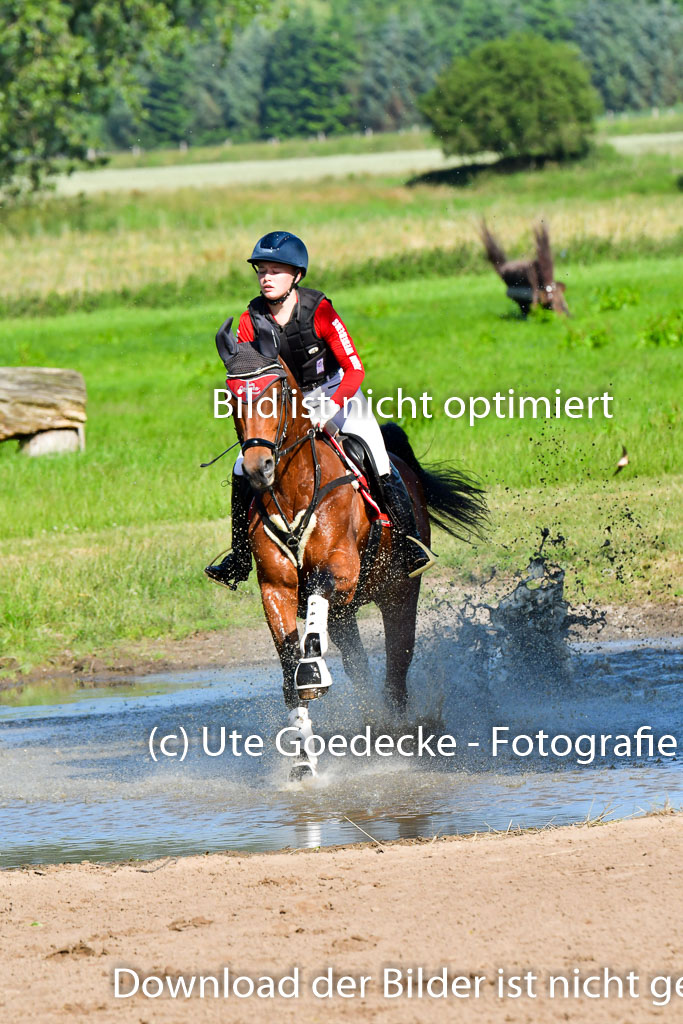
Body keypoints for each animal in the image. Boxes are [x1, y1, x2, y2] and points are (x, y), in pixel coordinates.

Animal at [214, 319, 485, 774]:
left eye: (277, 393)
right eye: (233, 397)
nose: (257, 469)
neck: (292, 489)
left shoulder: (343, 570)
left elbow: (316, 596)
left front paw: (312, 674)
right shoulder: (276, 588)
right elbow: (290, 663)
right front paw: (303, 761)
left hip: (398, 592)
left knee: (397, 660)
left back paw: (398, 730)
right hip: (346, 617)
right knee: (355, 663)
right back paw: (371, 721)